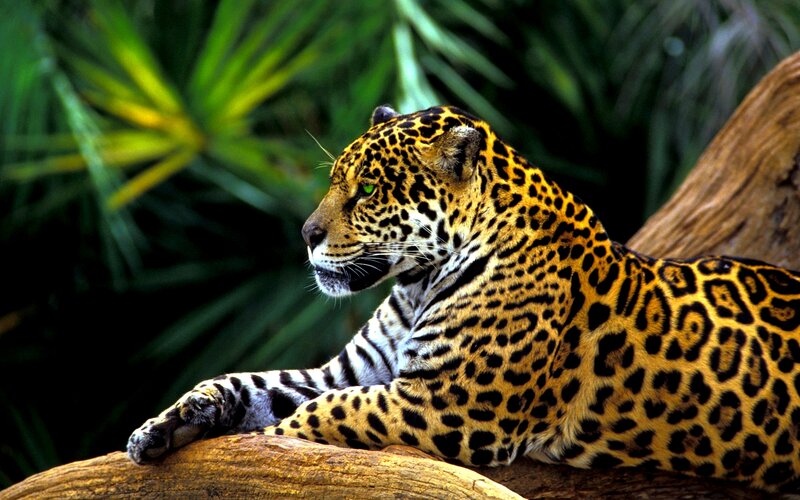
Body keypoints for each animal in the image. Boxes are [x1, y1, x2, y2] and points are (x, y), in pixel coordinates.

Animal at [128, 105, 800, 492]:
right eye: (334, 180)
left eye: (367, 189)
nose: (306, 234)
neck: (416, 280)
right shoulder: (351, 371)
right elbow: (249, 384)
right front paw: (162, 426)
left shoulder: (450, 404)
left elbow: (324, 415)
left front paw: (274, 444)